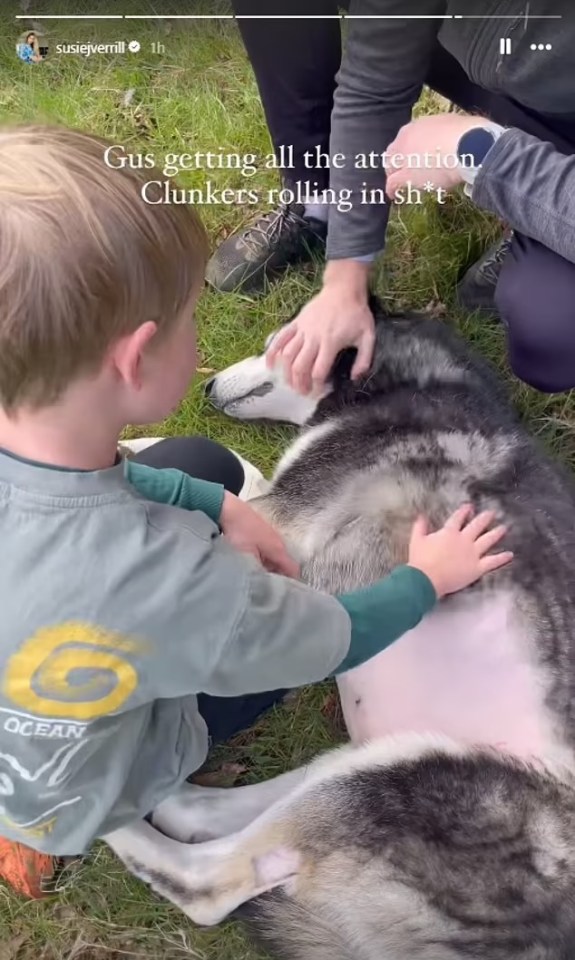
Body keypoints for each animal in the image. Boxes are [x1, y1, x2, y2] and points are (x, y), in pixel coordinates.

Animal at [106, 306, 575, 960]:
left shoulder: (285, 524)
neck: (420, 380)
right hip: (384, 756)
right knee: (205, 818)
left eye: (276, 341)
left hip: (407, 780)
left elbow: (225, 484)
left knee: (208, 882)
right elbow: (239, 471)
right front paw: (129, 447)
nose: (206, 387)